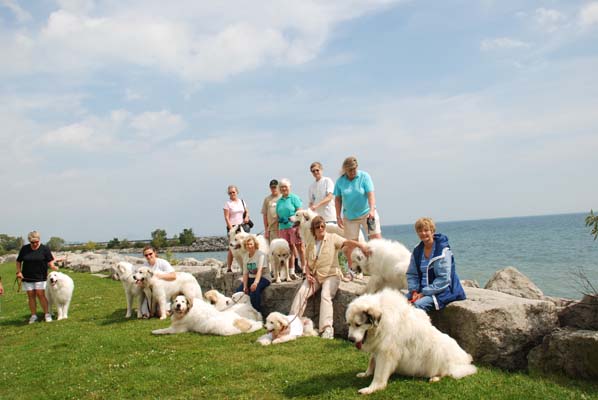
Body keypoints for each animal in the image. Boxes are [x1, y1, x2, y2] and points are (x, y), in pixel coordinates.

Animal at [346, 288, 478, 394]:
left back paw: (435, 377)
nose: (350, 339)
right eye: (349, 324)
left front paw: (372, 388)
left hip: (440, 355)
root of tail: (465, 359)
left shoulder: (386, 352)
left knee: (446, 372)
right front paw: (366, 374)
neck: (382, 320)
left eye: (358, 325)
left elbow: (379, 374)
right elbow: (371, 362)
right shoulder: (378, 346)